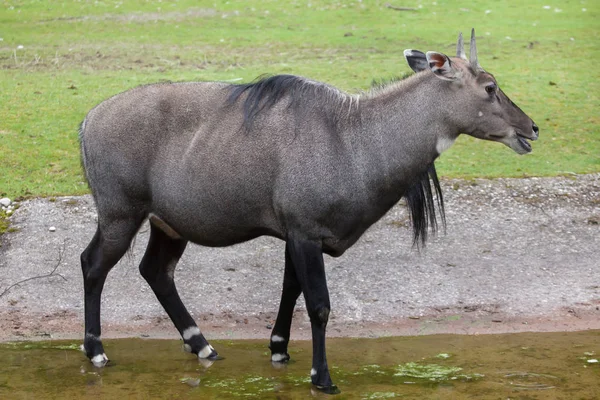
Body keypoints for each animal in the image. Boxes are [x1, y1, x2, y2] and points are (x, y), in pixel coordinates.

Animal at [78, 31, 540, 394]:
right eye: (490, 87)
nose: (531, 128)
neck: (354, 137)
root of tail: (87, 120)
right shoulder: (305, 231)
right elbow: (318, 303)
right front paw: (323, 378)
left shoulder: (296, 236)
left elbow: (290, 289)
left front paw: (279, 350)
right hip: (120, 214)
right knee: (93, 264)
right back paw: (97, 352)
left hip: (169, 225)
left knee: (156, 270)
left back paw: (202, 345)